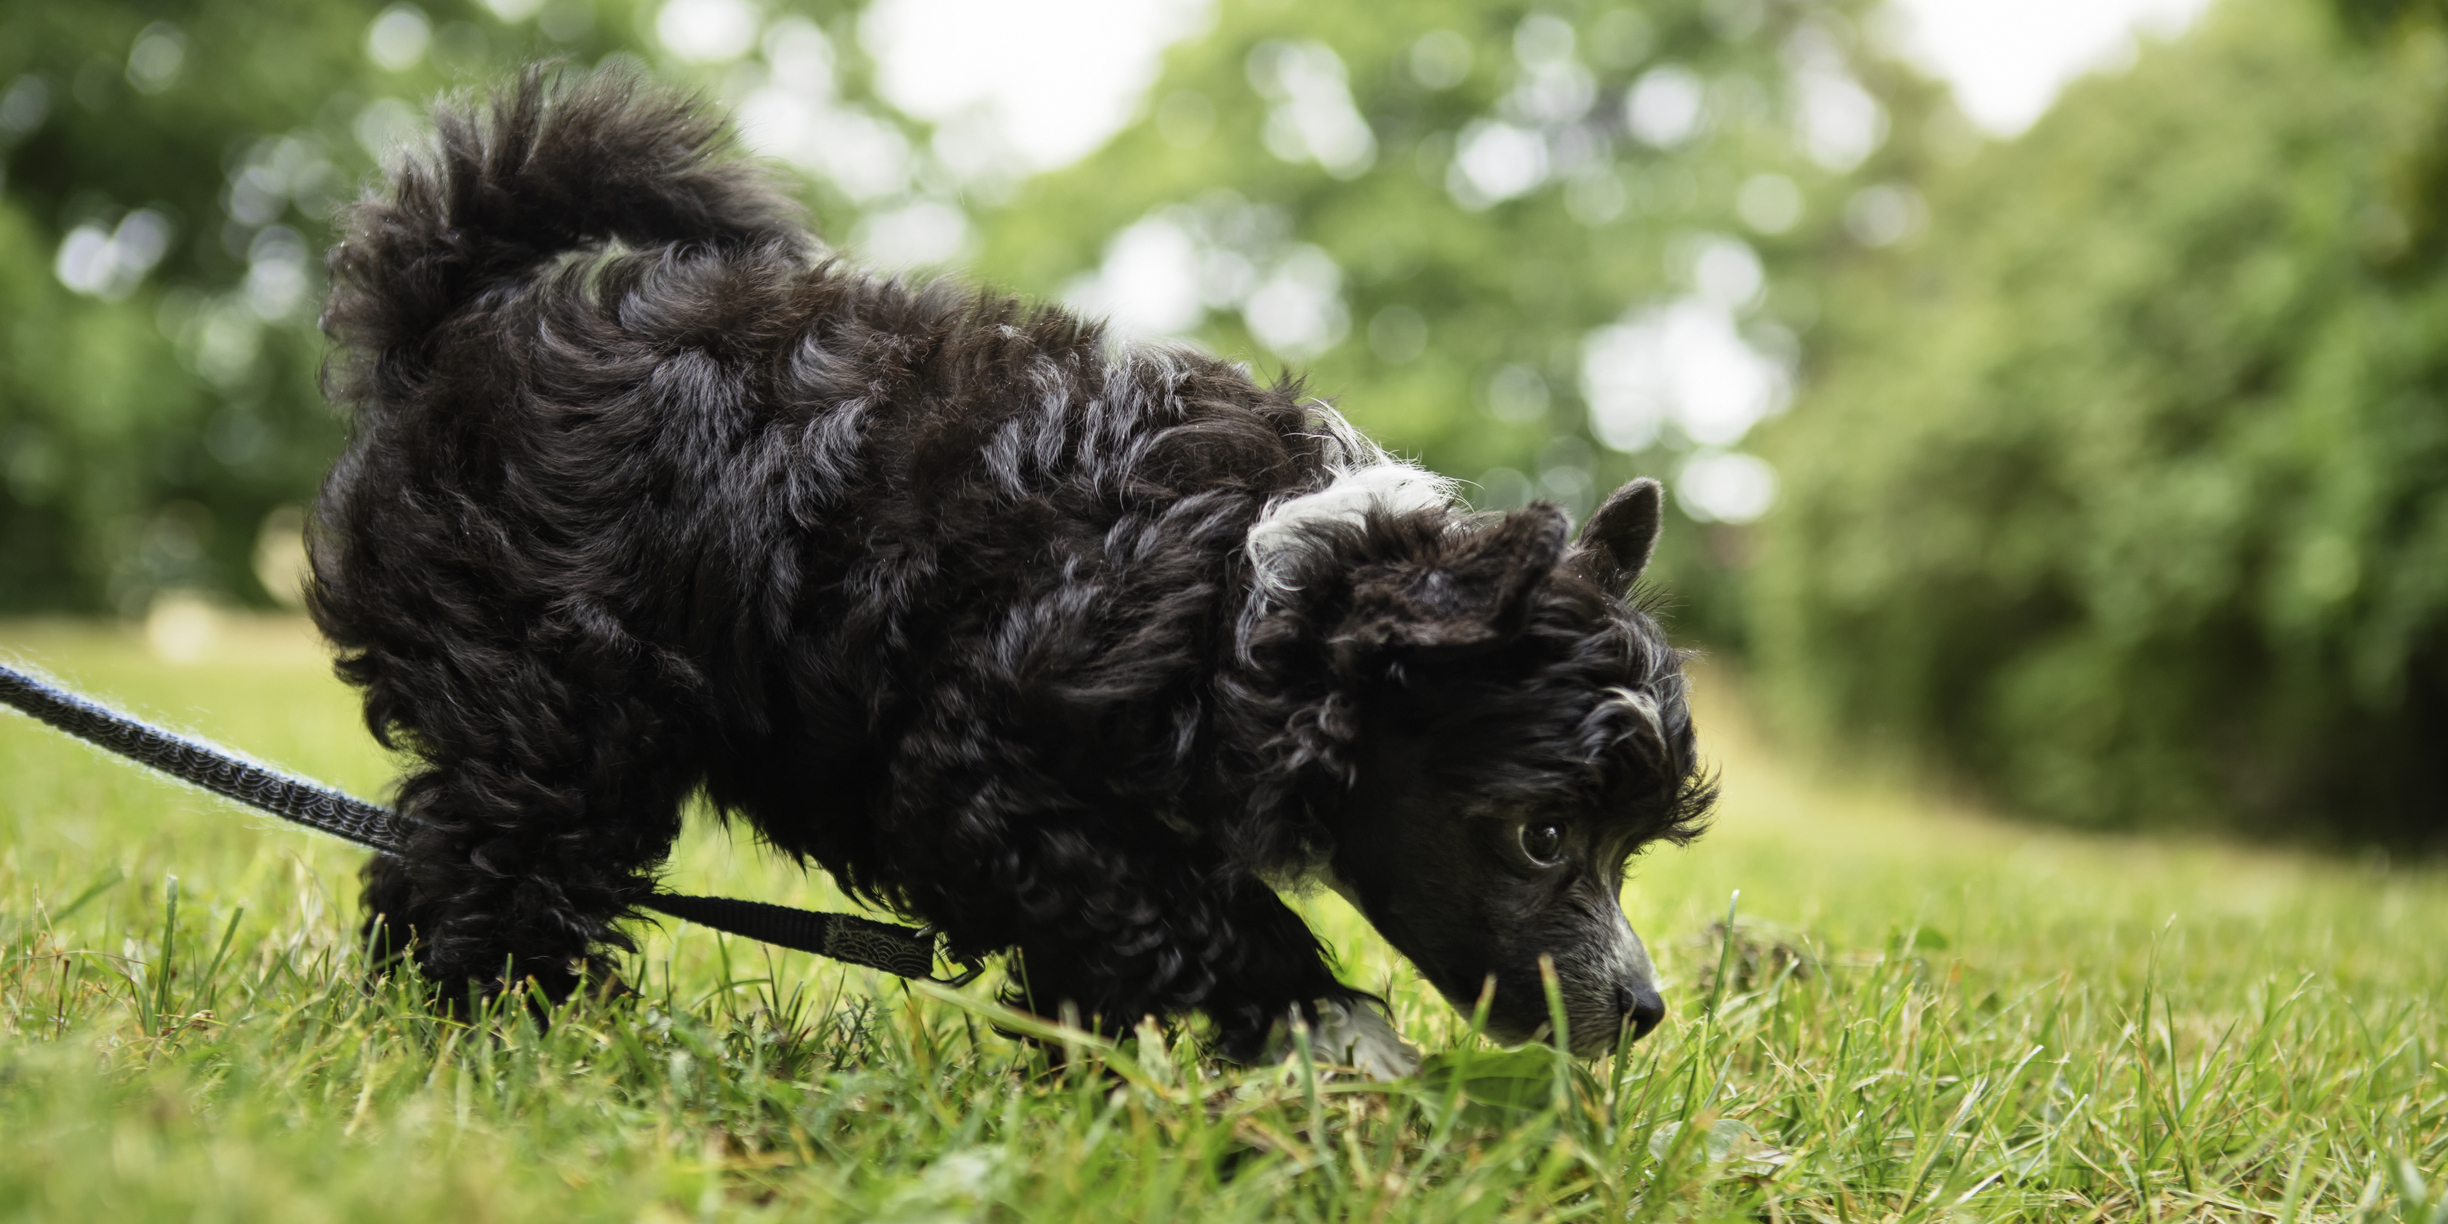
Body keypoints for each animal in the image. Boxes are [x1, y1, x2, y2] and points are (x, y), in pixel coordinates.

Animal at [315, 69, 1713, 1082]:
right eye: (1543, 838)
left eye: (1633, 849)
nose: (1646, 1011)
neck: (1267, 590)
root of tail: (453, 332)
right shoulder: (986, 771)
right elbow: (1196, 913)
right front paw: (1330, 1026)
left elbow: (1119, 949)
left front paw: (1096, 1088)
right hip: (556, 691)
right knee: (487, 858)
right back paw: (499, 1038)